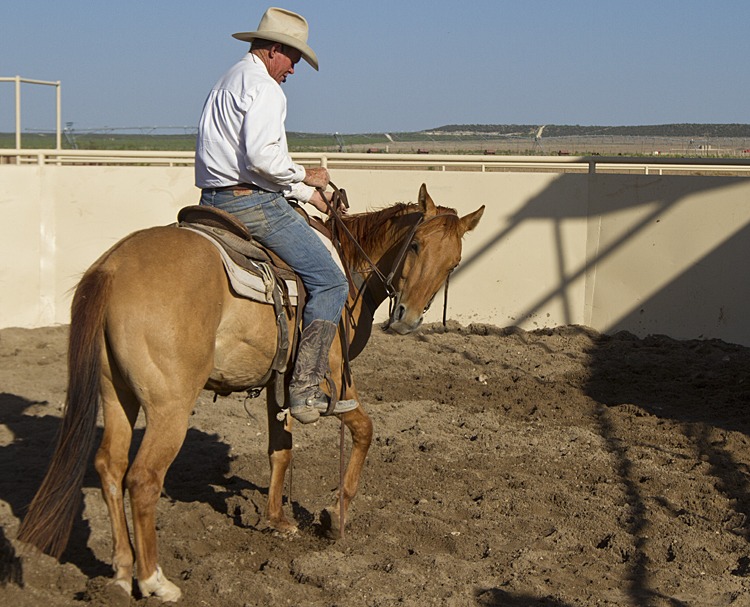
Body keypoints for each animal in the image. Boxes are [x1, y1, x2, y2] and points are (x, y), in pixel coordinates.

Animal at [17, 183, 484, 602]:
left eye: (455, 263)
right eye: (416, 245)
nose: (406, 318)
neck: (349, 271)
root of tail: (112, 269)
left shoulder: (281, 384)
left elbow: (281, 449)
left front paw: (278, 521)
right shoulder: (334, 382)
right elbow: (364, 431)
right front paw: (336, 517)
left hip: (116, 394)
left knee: (110, 468)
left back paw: (120, 572)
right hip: (170, 406)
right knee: (143, 478)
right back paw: (154, 581)